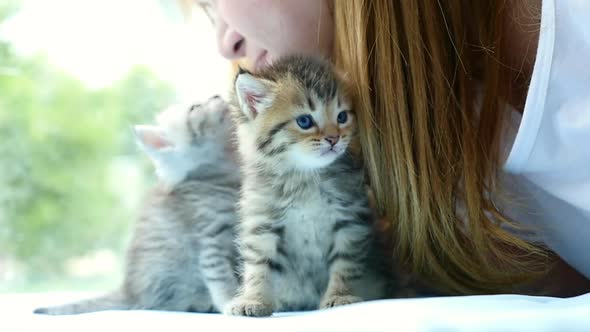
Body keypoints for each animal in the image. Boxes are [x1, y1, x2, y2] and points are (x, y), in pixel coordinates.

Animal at [34, 97, 242, 316]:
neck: (223, 178)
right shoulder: (209, 241)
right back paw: (202, 303)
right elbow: (221, 278)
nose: (217, 96)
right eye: (195, 107)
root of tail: (128, 292)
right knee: (164, 302)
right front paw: (231, 302)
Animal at [224, 55, 390, 318]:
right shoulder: (263, 223)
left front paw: (340, 295)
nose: (334, 139)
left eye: (342, 117)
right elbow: (259, 266)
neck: (304, 178)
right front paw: (254, 299)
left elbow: (345, 264)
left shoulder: (350, 220)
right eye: (304, 121)